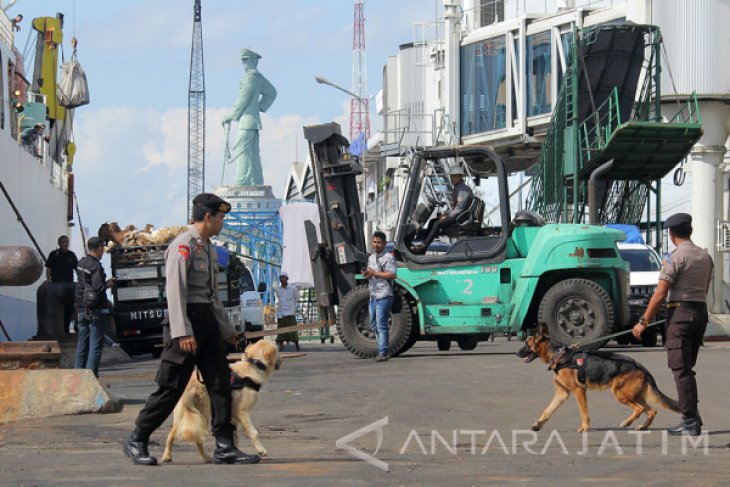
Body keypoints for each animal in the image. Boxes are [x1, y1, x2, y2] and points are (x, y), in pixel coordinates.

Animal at [516, 324, 680, 434]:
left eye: (526, 344)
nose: (517, 353)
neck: (558, 354)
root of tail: (639, 366)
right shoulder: (562, 394)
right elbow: (547, 410)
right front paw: (537, 425)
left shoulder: (579, 391)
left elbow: (584, 412)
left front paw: (584, 428)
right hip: (633, 395)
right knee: (651, 411)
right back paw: (642, 427)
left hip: (620, 395)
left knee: (639, 409)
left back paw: (626, 422)